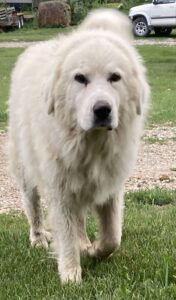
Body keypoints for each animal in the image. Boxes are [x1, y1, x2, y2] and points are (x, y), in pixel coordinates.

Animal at [8, 8, 150, 282]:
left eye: (115, 77)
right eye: (80, 78)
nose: (102, 110)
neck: (90, 144)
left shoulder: (110, 185)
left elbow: (112, 237)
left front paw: (95, 250)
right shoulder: (60, 188)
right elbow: (65, 233)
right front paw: (70, 275)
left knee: (80, 219)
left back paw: (84, 242)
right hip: (26, 170)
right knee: (33, 208)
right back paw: (38, 238)